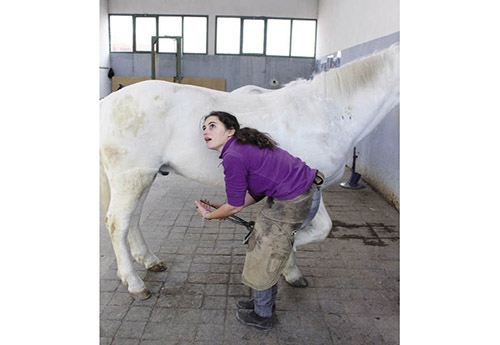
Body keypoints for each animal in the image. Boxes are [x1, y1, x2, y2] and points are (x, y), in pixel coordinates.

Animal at [99, 45, 400, 298]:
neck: (327, 113)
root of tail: (109, 102)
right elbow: (310, 230)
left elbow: (310, 228)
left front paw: (290, 271)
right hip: (132, 177)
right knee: (117, 223)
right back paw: (135, 284)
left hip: (143, 176)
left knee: (133, 219)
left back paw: (150, 261)